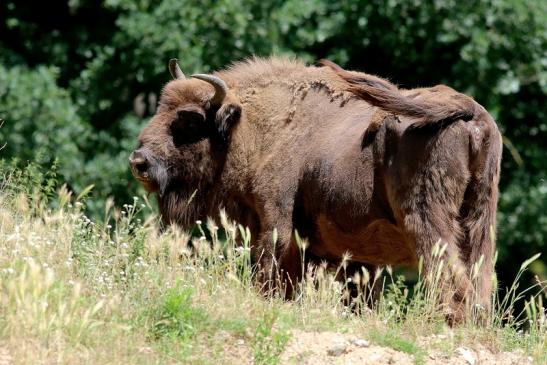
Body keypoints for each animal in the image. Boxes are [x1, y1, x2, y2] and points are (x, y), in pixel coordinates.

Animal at [130, 56, 506, 322]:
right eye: (161, 107)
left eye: (190, 121)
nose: (139, 161)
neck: (252, 126)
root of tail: (469, 110)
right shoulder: (355, 258)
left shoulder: (276, 222)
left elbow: (272, 271)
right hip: (480, 221)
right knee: (479, 280)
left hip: (426, 221)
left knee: (450, 278)